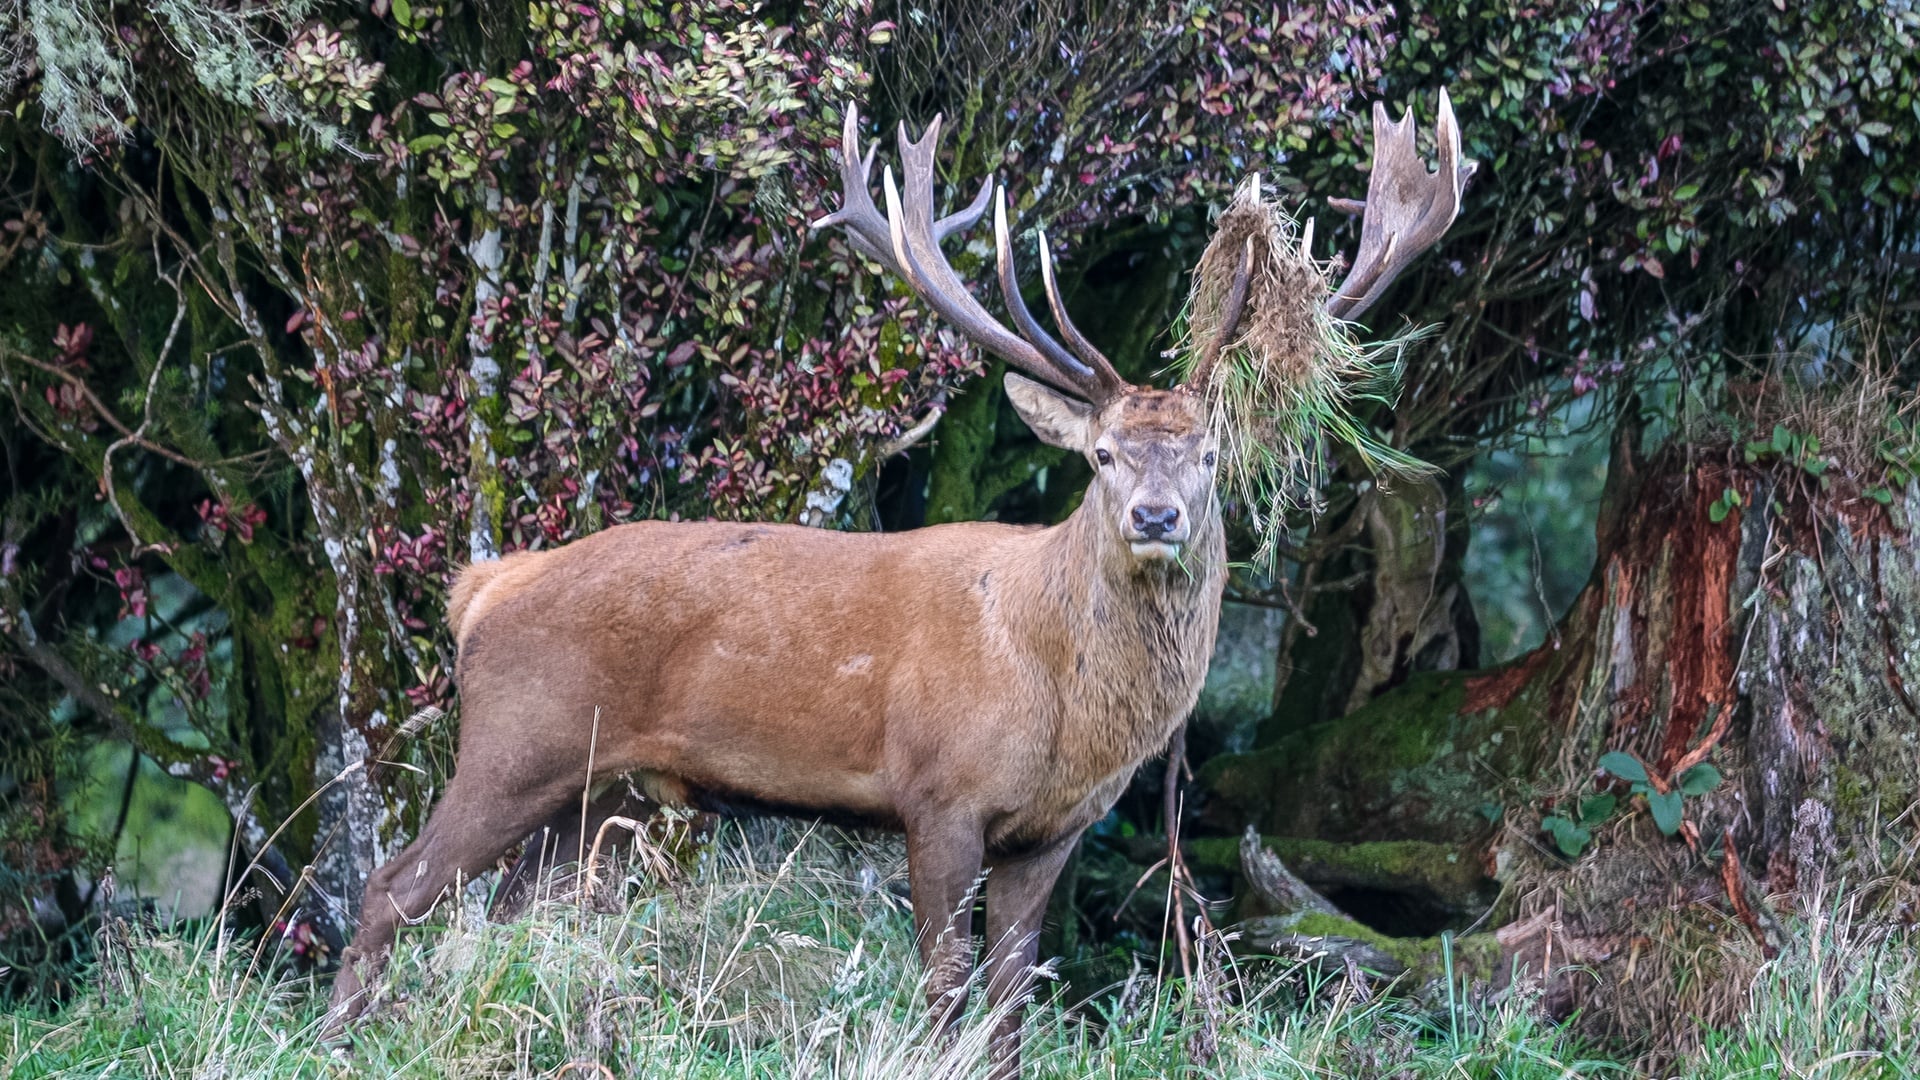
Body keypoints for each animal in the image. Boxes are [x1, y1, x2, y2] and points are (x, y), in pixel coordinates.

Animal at [325, 93, 1471, 1075]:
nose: (1156, 517)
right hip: (520, 740)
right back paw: (335, 1042)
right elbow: (944, 993)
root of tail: (484, 587)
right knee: (391, 889)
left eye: (1207, 456)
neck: (1061, 699)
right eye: (1103, 455)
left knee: (511, 920)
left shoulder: (1053, 832)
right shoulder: (938, 793)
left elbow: (1010, 1009)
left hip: (597, 790)